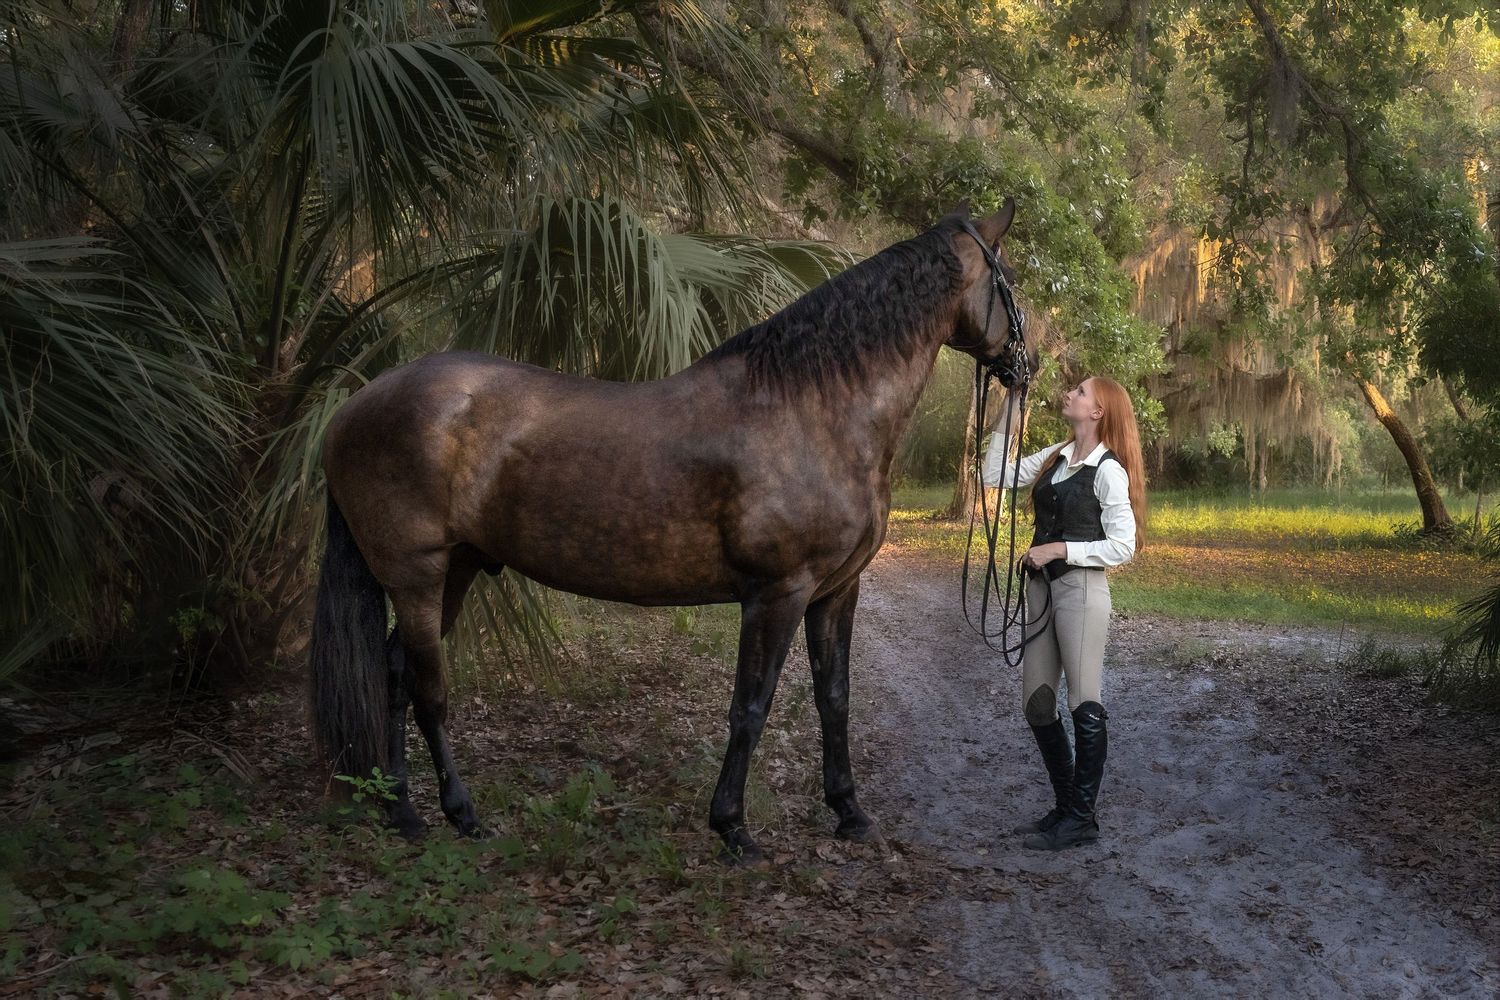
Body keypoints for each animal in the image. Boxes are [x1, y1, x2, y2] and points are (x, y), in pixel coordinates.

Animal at [309, 199, 1031, 862]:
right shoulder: (778, 593)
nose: (1027, 369)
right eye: (1011, 281)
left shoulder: (834, 593)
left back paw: (403, 809)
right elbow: (751, 706)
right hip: (418, 575)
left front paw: (849, 813)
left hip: (456, 568)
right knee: (424, 689)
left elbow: (835, 698)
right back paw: (454, 814)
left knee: (394, 674)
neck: (814, 409)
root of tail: (351, 408)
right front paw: (733, 827)